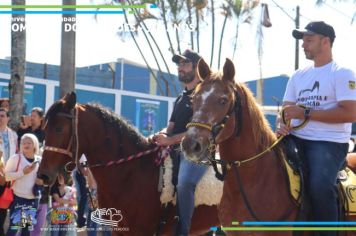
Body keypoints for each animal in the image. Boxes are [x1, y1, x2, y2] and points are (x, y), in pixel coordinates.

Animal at [36, 92, 220, 236]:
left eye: (59, 129)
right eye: (45, 129)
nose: (43, 175)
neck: (131, 172)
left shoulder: (140, 231)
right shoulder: (118, 230)